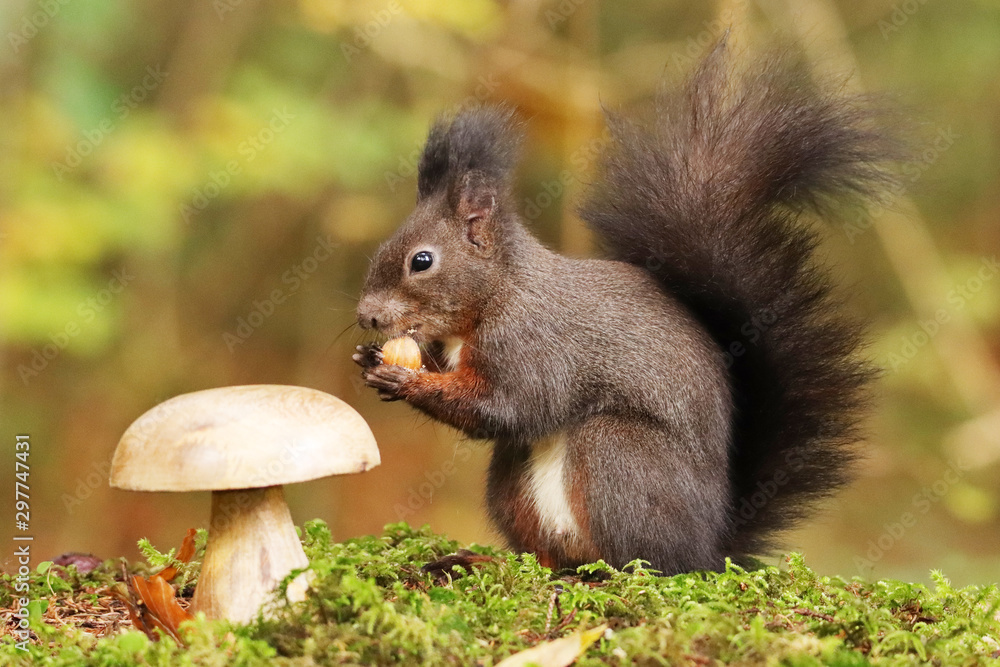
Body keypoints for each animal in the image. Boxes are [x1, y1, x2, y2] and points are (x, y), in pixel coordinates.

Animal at [353, 41, 898, 574]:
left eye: (421, 261)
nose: (367, 316)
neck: (495, 297)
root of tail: (709, 548)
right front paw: (369, 358)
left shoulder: (534, 346)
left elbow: (508, 407)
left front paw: (404, 380)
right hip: (513, 485)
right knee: (546, 554)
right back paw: (489, 561)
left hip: (618, 453)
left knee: (642, 560)